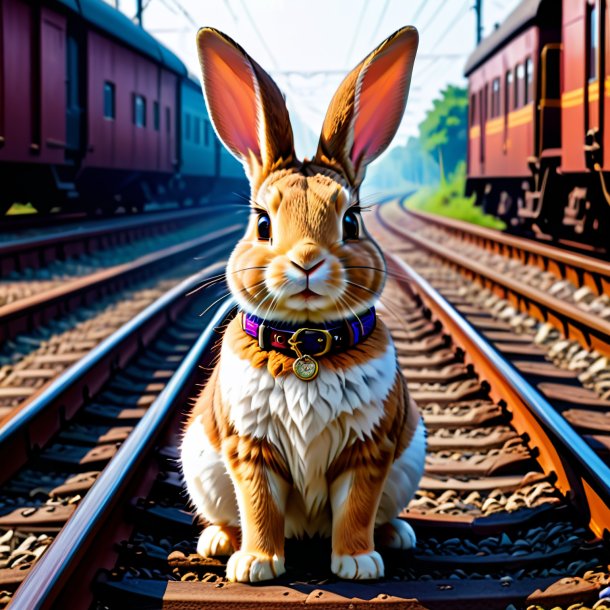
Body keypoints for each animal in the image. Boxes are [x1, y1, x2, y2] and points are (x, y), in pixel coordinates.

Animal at [180, 23, 422, 580]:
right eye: (262, 224)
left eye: (351, 221)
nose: (307, 260)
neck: (307, 342)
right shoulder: (250, 448)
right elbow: (259, 505)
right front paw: (256, 567)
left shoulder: (368, 449)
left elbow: (356, 506)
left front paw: (357, 564)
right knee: (229, 514)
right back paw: (218, 544)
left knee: (380, 512)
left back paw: (397, 536)